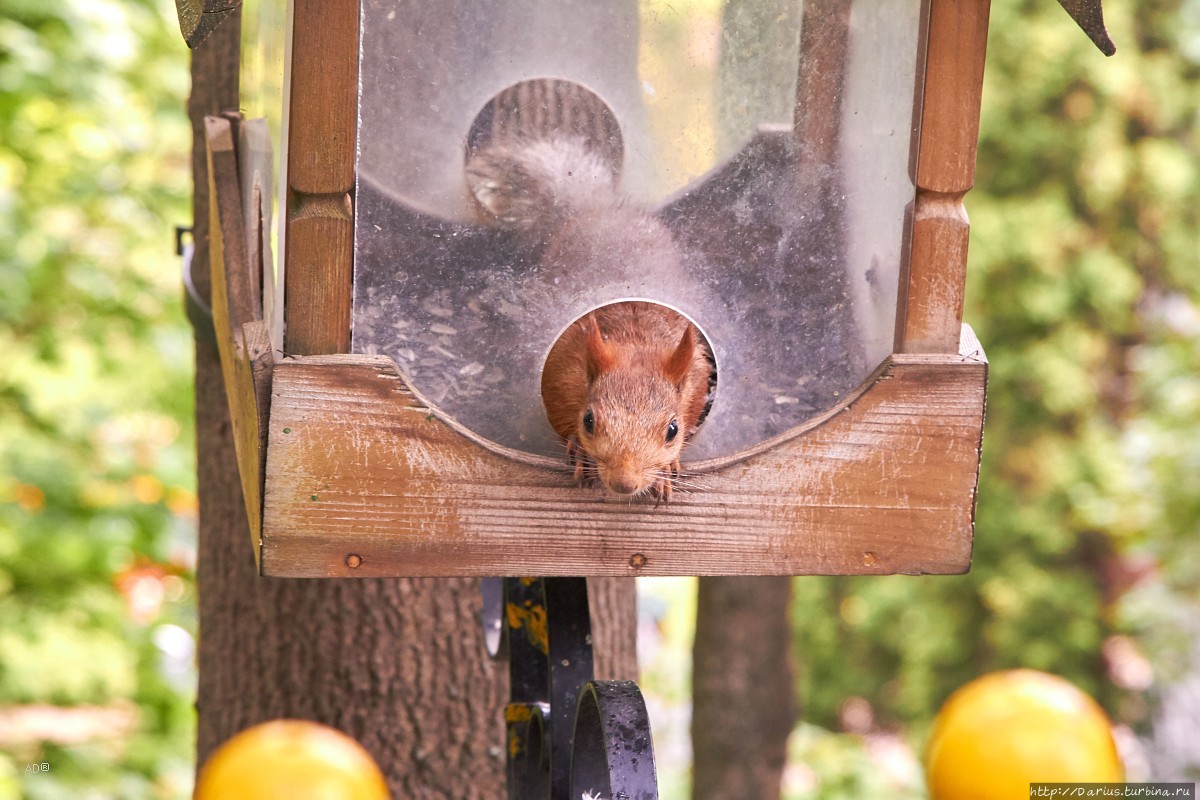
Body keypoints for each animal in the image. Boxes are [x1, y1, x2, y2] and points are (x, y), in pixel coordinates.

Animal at [465, 134, 710, 496]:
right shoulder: (561, 371)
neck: (635, 338)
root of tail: (596, 208)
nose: (624, 484)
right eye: (589, 421)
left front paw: (667, 468)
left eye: (673, 430)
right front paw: (580, 450)